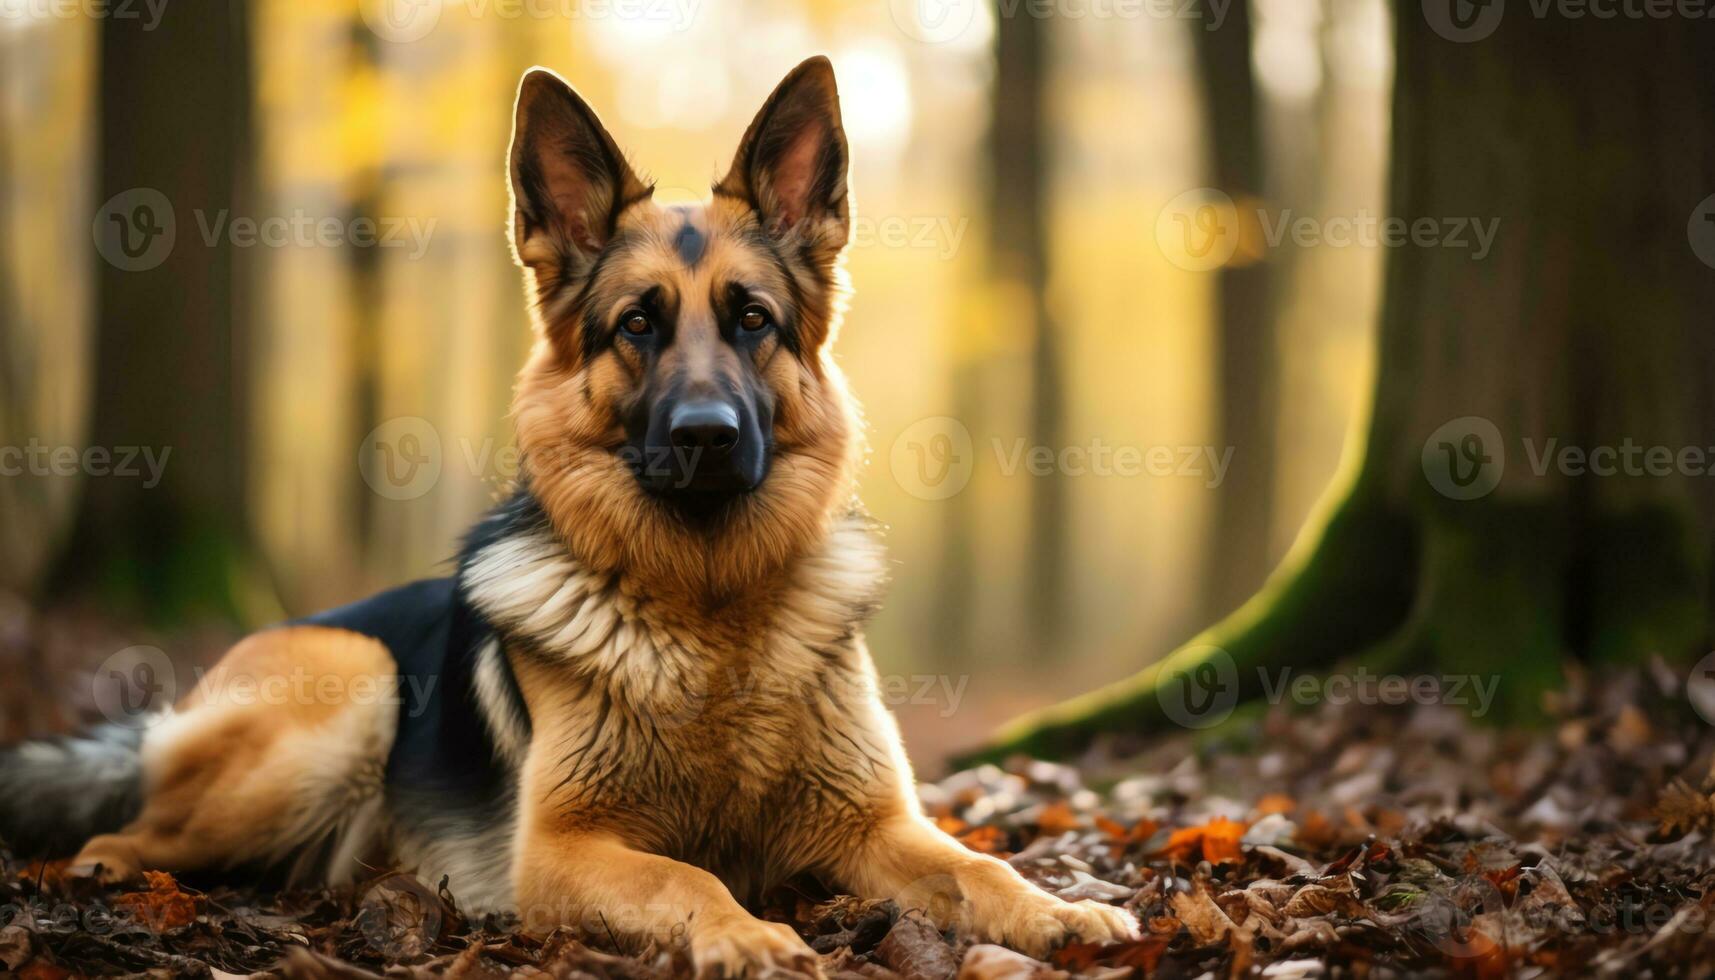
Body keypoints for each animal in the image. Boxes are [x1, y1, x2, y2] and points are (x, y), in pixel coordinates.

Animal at [0, 59, 1138, 974]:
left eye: (752, 320)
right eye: (636, 324)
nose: (706, 434)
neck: (711, 614)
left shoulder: (875, 825)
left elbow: (976, 865)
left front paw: (1058, 907)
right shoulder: (561, 849)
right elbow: (688, 878)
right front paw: (748, 934)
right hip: (352, 690)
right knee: (117, 842)